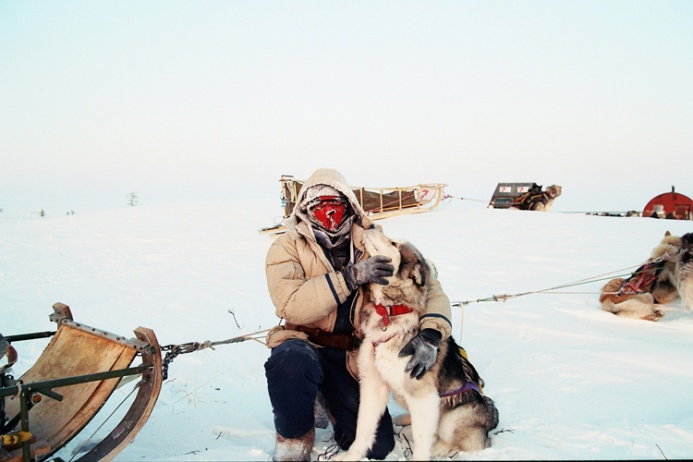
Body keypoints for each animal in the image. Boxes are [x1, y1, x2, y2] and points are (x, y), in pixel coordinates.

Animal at [336, 228, 498, 462]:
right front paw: (351, 456)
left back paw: (440, 445)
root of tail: (491, 418)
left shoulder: (423, 395)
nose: (372, 227)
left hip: (455, 416)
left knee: (465, 441)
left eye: (393, 243)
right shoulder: (373, 385)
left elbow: (423, 440)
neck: (390, 311)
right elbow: (363, 428)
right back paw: (404, 422)